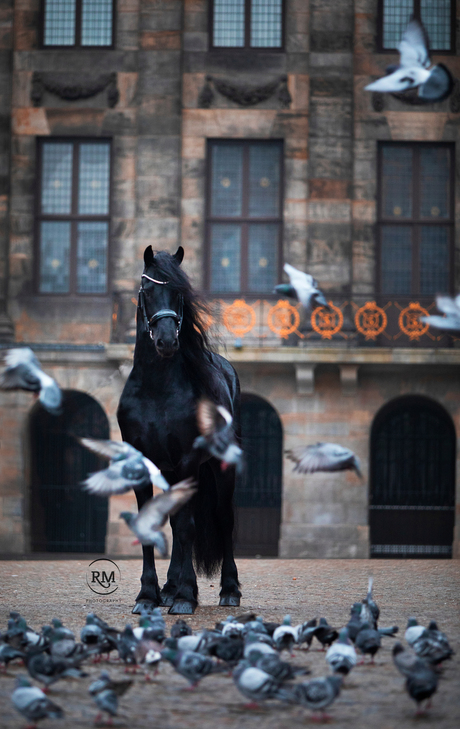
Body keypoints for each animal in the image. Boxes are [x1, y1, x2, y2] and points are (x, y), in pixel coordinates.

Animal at [116, 246, 241, 616]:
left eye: (180, 293)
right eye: (147, 289)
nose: (167, 341)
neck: (157, 389)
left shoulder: (187, 462)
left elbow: (188, 528)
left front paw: (186, 596)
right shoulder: (143, 465)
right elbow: (157, 524)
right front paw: (148, 596)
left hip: (217, 469)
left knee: (222, 519)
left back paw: (227, 590)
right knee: (176, 520)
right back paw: (170, 589)